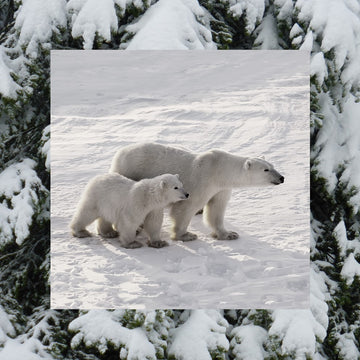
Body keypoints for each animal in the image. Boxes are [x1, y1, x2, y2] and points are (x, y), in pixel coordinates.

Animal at [103, 143, 284, 242]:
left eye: (273, 166)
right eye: (266, 169)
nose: (281, 178)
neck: (220, 170)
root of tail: (119, 153)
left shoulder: (221, 188)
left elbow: (216, 209)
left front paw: (228, 234)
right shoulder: (203, 180)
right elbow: (186, 207)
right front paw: (185, 235)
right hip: (130, 170)